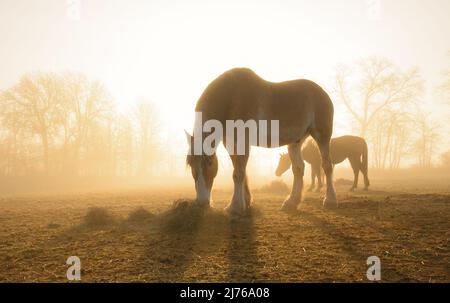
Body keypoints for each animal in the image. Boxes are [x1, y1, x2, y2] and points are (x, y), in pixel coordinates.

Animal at [185, 67, 336, 215]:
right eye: (191, 164)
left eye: (209, 162)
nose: (202, 202)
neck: (231, 99)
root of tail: (323, 94)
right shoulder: (231, 144)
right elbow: (241, 171)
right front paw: (246, 202)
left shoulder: (242, 142)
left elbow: (238, 173)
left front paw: (235, 206)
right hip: (295, 142)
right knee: (298, 168)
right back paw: (291, 202)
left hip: (322, 136)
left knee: (327, 166)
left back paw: (330, 200)